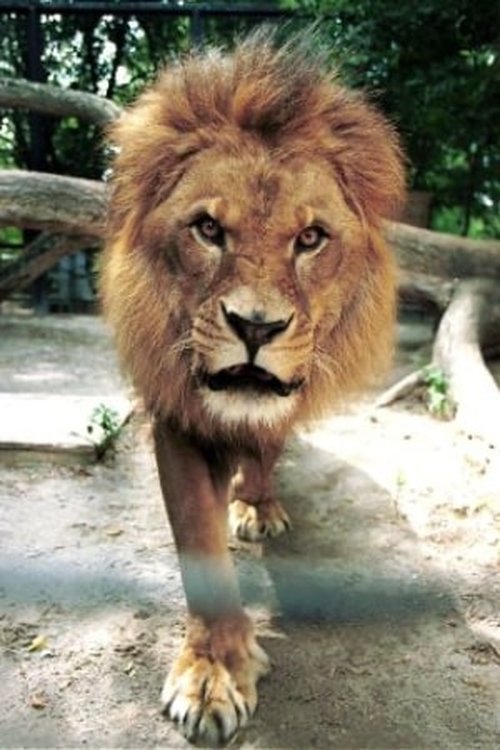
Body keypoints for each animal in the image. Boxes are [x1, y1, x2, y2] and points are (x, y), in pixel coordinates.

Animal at [100, 29, 405, 745]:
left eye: (311, 237)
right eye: (209, 229)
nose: (256, 327)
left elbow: (265, 446)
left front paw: (255, 504)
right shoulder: (177, 415)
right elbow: (199, 544)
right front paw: (212, 676)